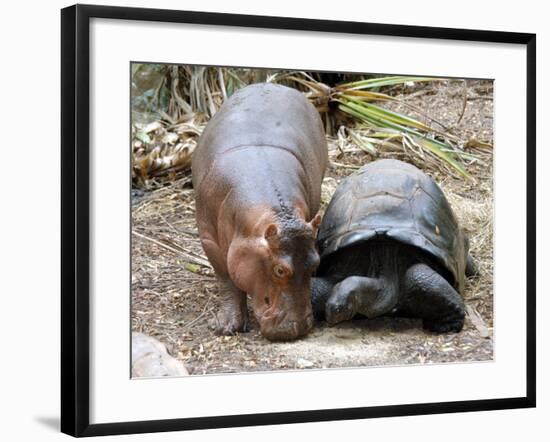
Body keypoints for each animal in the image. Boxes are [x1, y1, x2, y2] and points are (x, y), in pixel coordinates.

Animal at [193, 83, 328, 342]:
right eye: (280, 270)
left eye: (315, 263)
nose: (298, 327)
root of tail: (273, 84)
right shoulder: (209, 240)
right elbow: (226, 279)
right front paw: (225, 327)